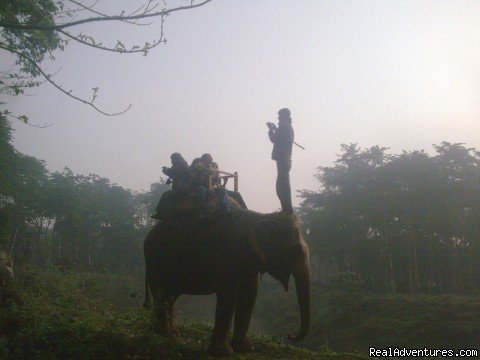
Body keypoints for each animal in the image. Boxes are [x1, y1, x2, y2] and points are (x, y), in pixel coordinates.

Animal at [142, 210, 312, 356]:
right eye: (296, 251)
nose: (289, 335)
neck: (261, 216)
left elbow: (250, 292)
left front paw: (246, 349)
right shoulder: (225, 253)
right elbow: (229, 292)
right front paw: (223, 352)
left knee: (170, 297)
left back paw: (172, 333)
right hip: (157, 261)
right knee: (162, 295)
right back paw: (165, 335)